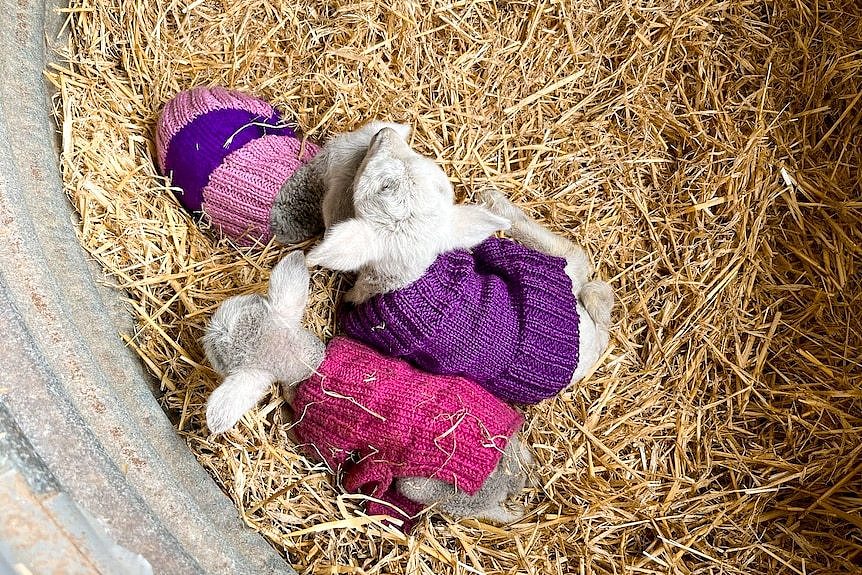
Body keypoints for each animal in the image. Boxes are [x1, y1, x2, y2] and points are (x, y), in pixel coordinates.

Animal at [202, 252, 532, 528]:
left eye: (218, 356)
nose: (209, 327)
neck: (312, 365)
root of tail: (505, 483)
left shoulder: (322, 435)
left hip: (427, 488)